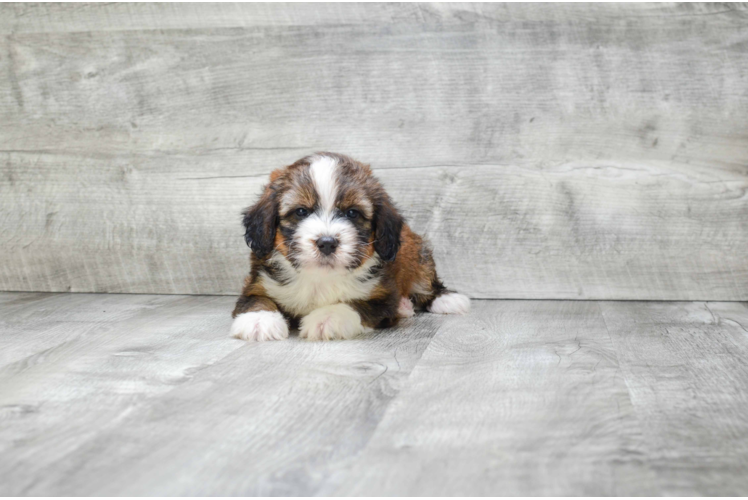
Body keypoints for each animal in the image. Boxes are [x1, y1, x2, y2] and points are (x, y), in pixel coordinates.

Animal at [231, 151, 470, 340]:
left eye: (352, 213)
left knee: (426, 282)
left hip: (419, 254)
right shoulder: (258, 282)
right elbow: (255, 299)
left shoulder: (382, 297)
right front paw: (259, 320)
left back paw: (445, 299)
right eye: (301, 211)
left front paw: (327, 317)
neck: (320, 278)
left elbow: (355, 305)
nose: (327, 243)